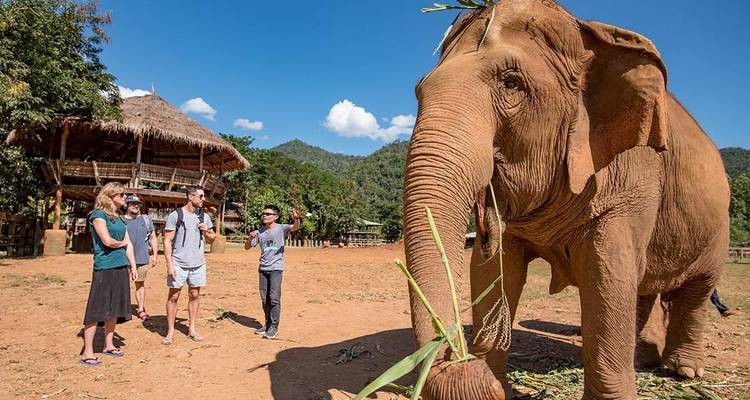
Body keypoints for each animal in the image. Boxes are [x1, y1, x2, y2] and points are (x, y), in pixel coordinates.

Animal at [402, 1, 729, 399]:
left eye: (511, 82)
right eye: (419, 90)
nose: (461, 362)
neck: (586, 32)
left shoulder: (634, 172)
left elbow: (609, 271)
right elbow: (492, 270)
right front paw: (494, 379)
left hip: (718, 229)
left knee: (695, 291)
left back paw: (684, 371)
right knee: (645, 288)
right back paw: (644, 359)